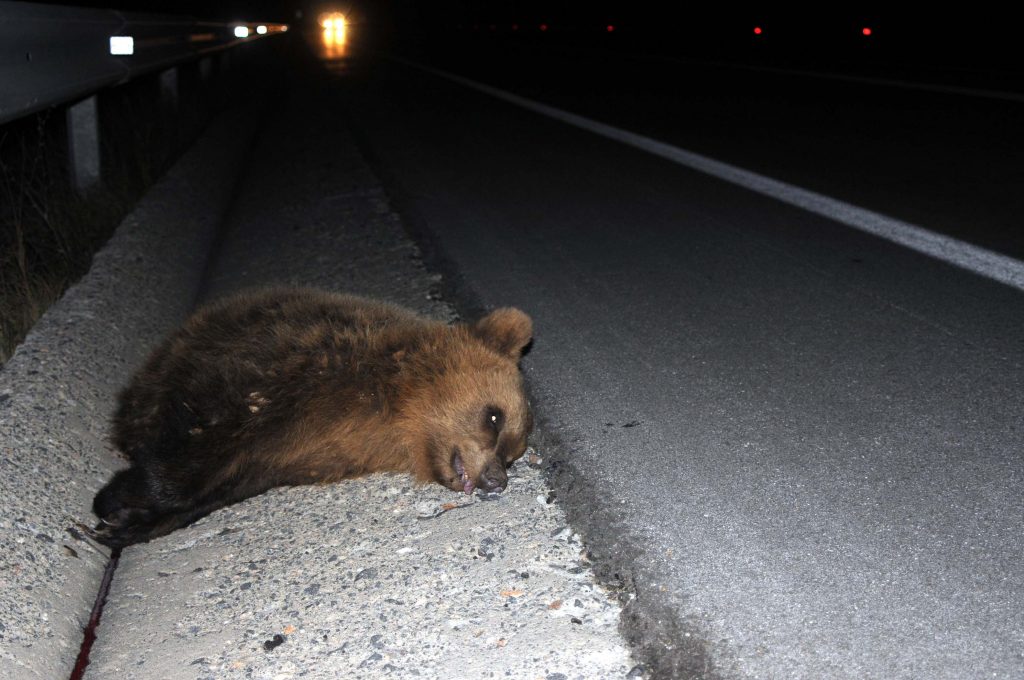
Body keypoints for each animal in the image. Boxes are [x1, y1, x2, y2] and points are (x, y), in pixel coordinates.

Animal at [90, 284, 536, 548]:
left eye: (513, 455)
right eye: (494, 417)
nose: (496, 480)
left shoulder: (293, 457)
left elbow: (224, 486)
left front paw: (132, 521)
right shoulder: (282, 375)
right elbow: (194, 448)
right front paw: (115, 502)